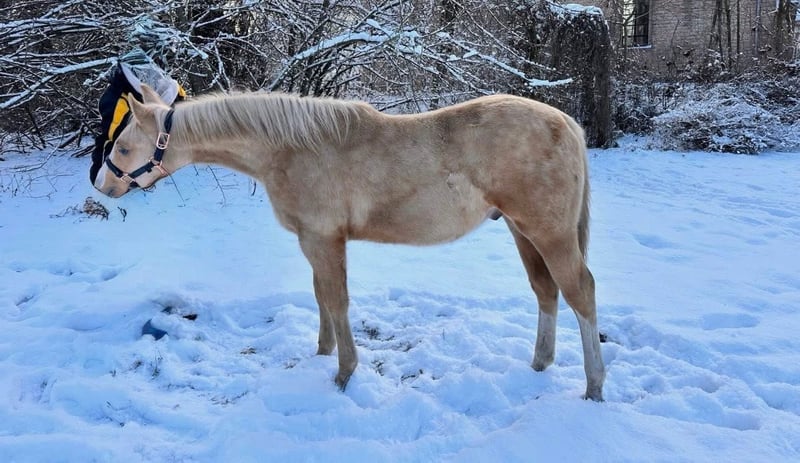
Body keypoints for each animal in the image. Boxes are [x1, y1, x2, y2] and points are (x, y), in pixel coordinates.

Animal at [94, 85, 606, 401]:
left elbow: (337, 300)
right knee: (546, 291)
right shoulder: (313, 240)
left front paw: (343, 373)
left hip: (549, 233)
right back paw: (539, 364)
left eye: (123, 147)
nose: (102, 186)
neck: (290, 149)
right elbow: (321, 295)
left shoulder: (324, 239)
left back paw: (594, 386)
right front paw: (322, 354)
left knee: (580, 292)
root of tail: (567, 123)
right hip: (521, 231)